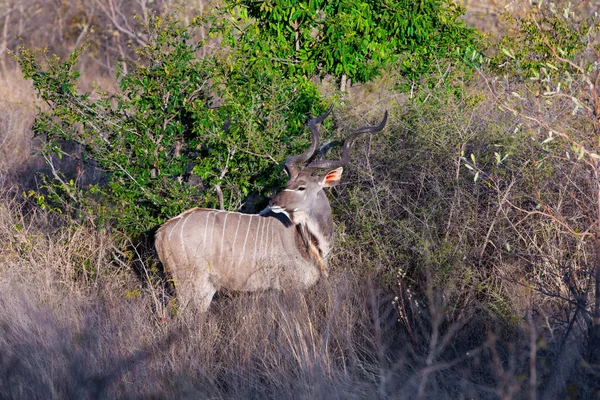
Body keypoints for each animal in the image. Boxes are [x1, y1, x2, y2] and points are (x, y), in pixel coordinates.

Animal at [156, 108, 390, 310]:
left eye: (300, 186)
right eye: (288, 182)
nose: (272, 202)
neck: (305, 242)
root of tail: (162, 232)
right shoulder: (291, 287)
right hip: (192, 285)